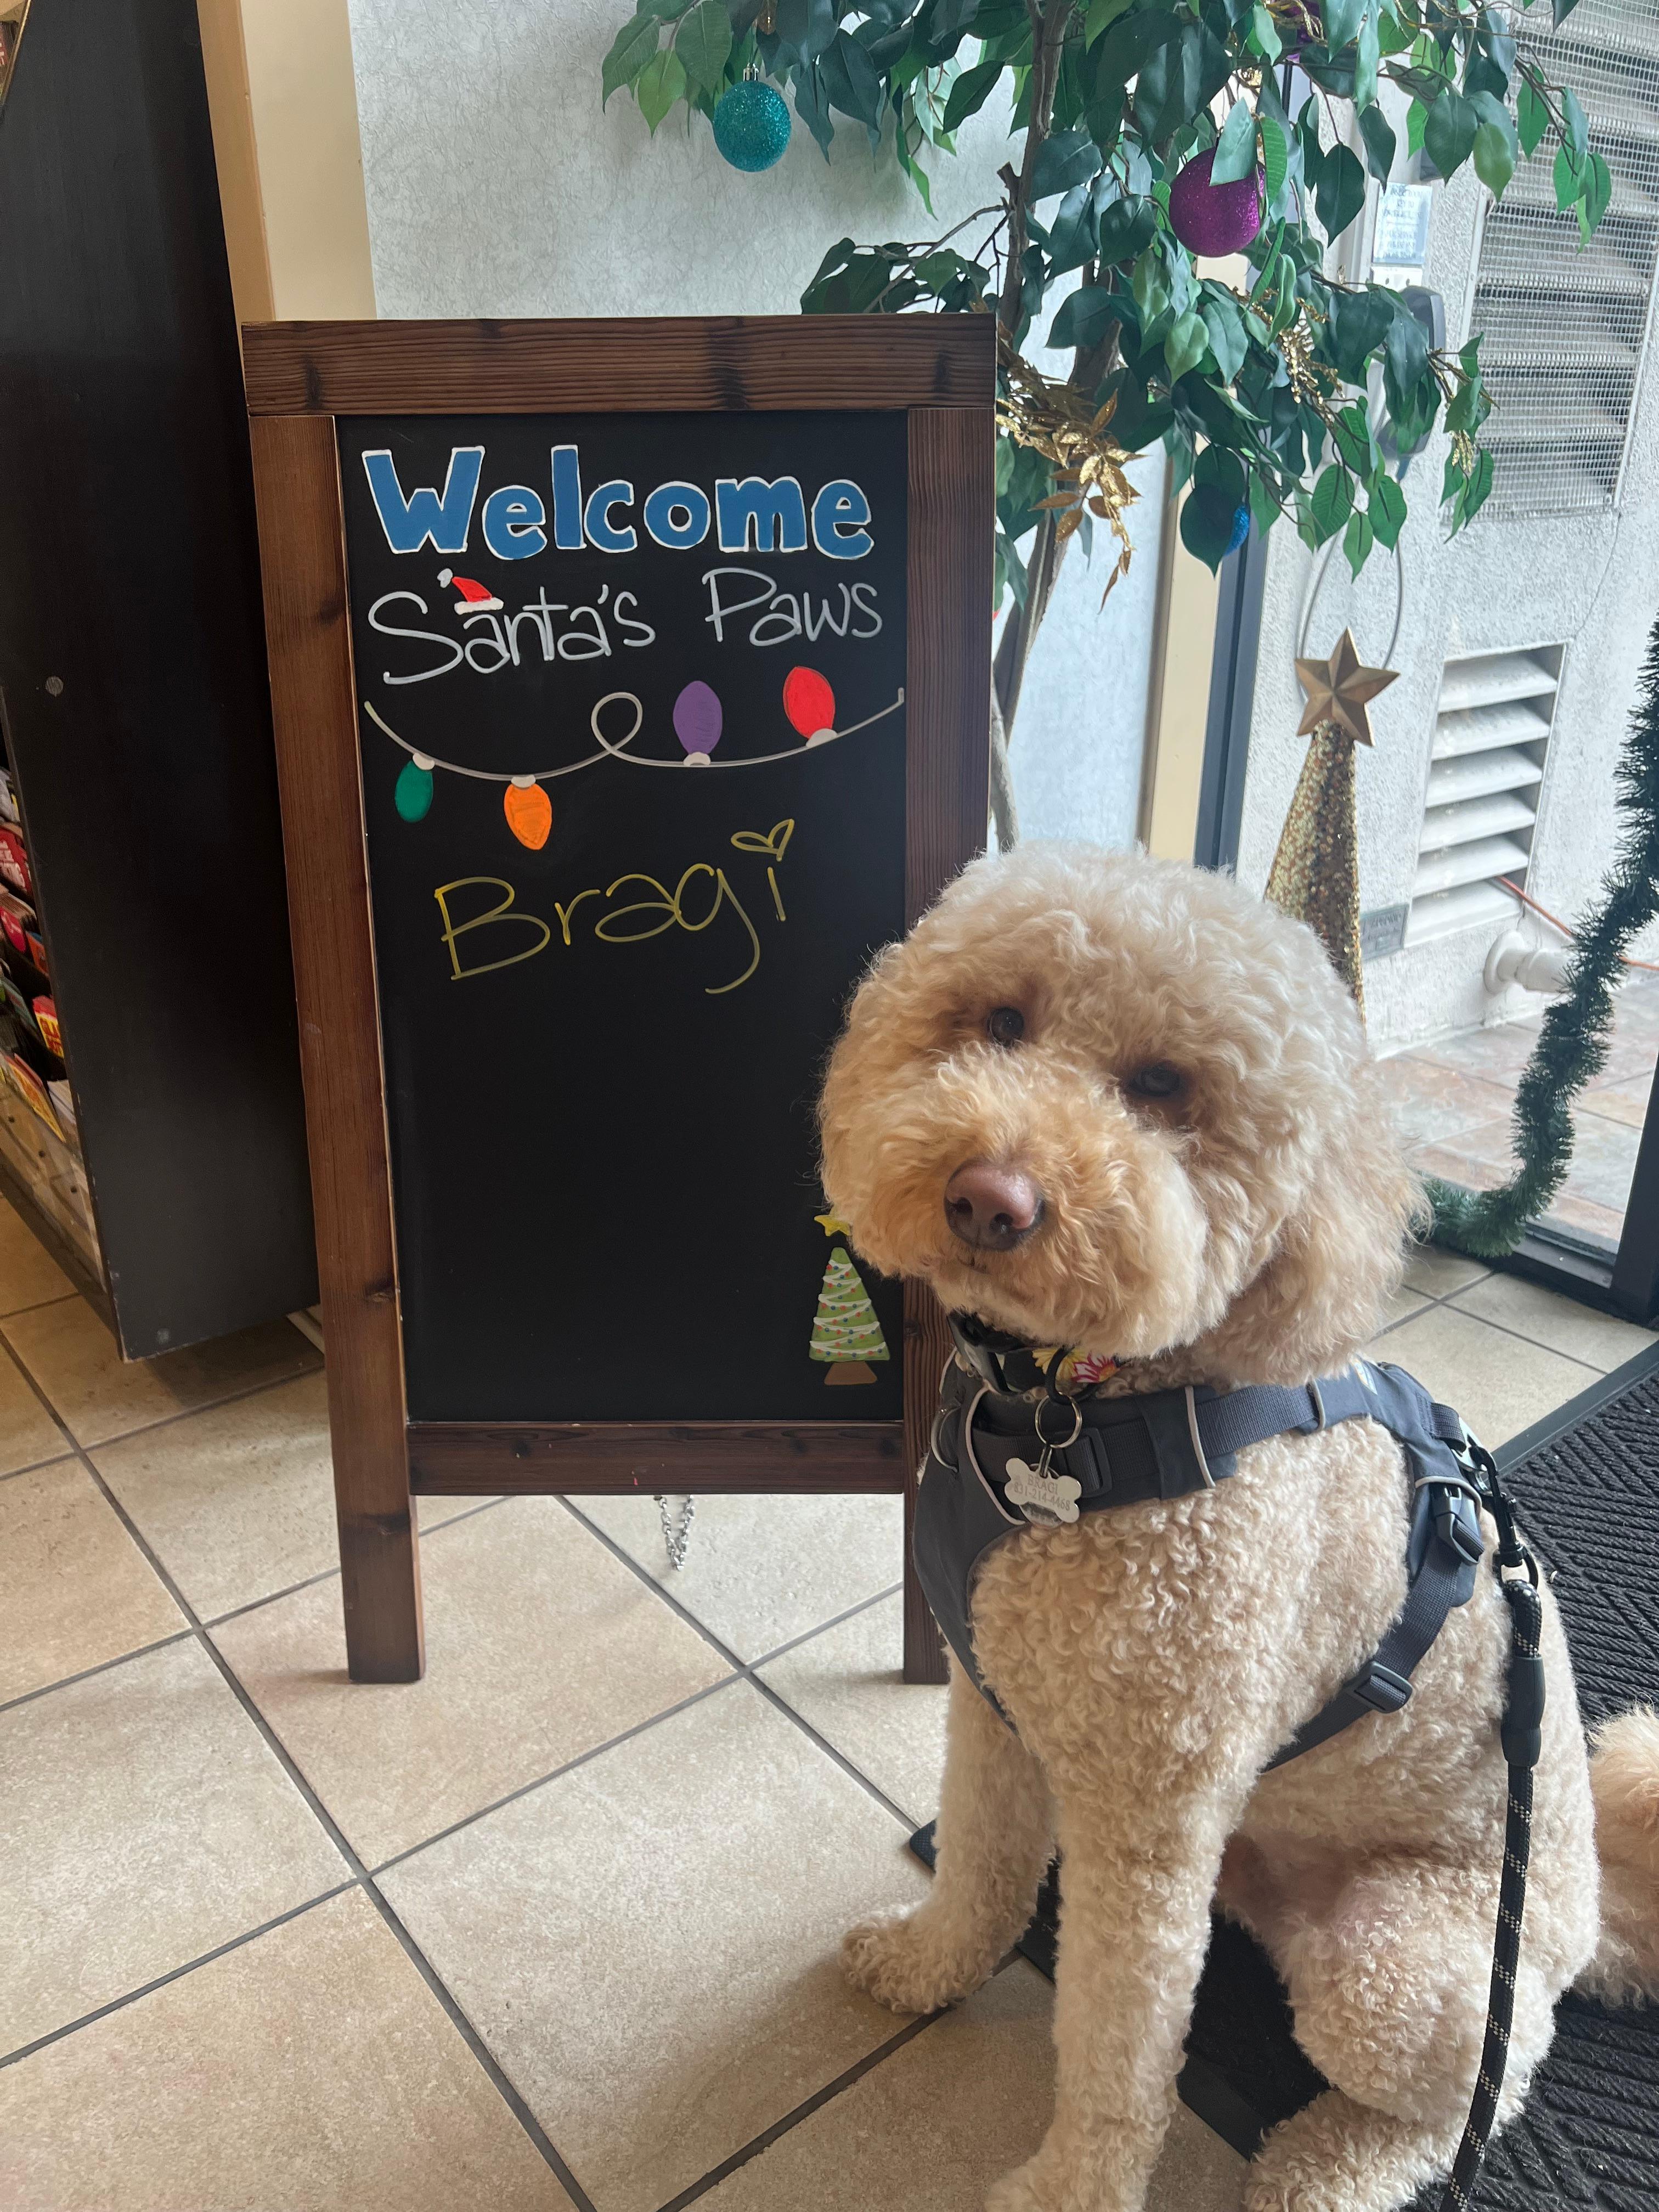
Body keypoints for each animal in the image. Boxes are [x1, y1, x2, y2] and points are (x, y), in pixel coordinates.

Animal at [822, 840, 1659, 2212]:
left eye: (1165, 1087)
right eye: (1001, 1022)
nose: (992, 1199)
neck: (1065, 1410)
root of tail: (1594, 1917)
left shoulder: (1145, 1830)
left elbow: (1118, 2053)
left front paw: (1069, 2191)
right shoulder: (994, 1712)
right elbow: (981, 1867)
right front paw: (930, 1963)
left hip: (1405, 1973)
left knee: (1469, 2101)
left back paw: (1322, 2173)